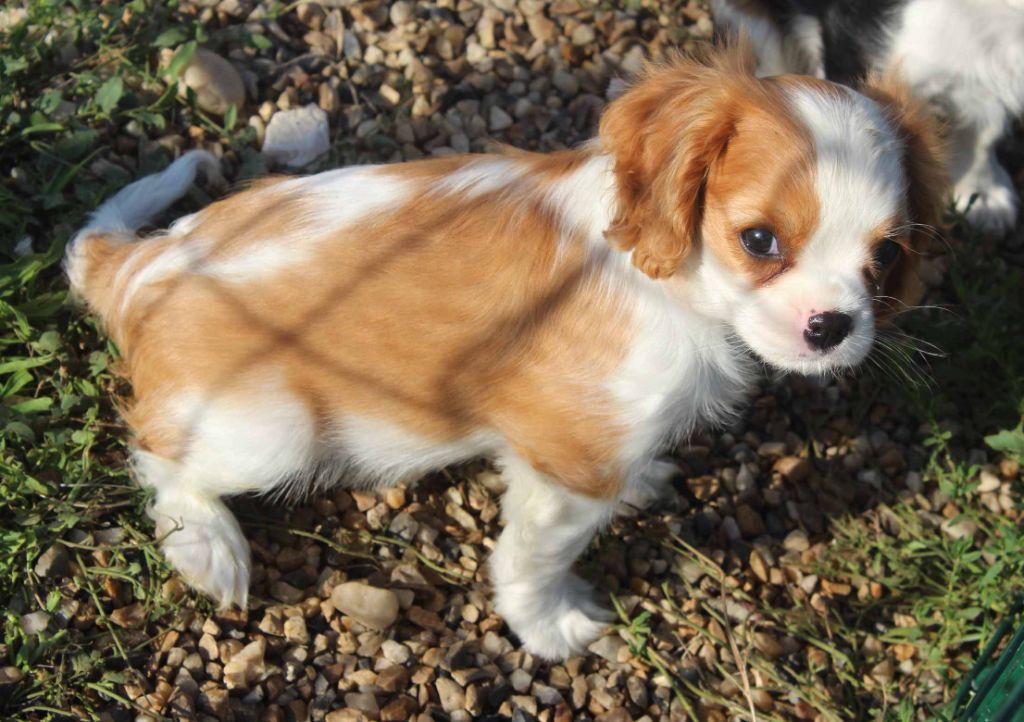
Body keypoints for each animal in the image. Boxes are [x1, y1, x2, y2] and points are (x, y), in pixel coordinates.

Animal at [64, 44, 944, 660]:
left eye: (886, 255)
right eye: (759, 242)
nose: (831, 326)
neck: (672, 284)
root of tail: (139, 265)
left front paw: (643, 479)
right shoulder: (567, 467)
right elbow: (533, 560)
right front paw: (550, 626)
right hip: (273, 429)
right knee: (158, 459)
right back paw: (209, 546)